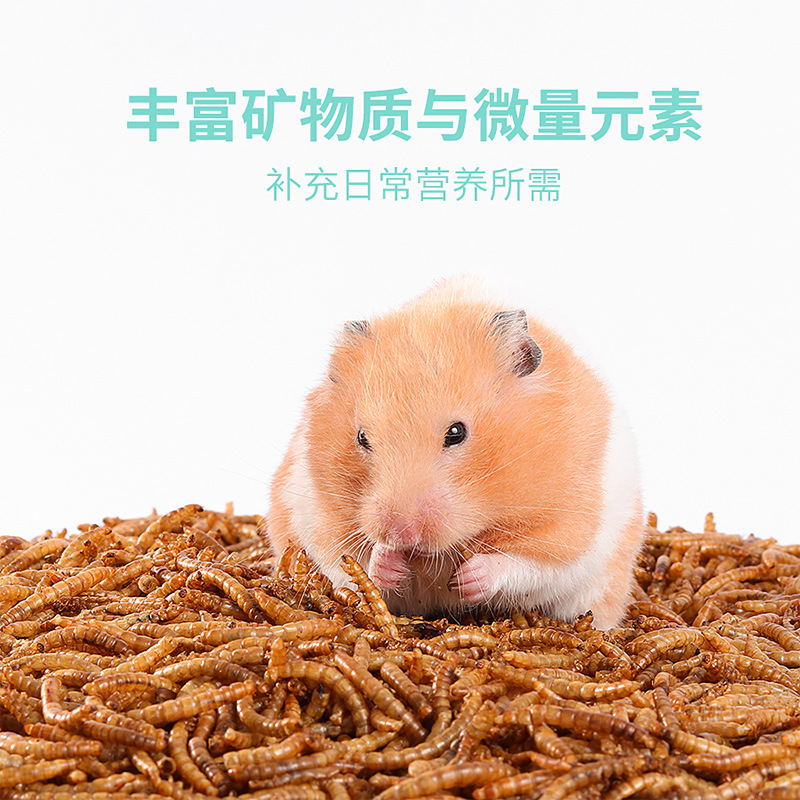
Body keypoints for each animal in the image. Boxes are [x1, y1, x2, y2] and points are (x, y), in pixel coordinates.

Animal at [267, 277, 643, 629]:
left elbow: (527, 564)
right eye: (362, 437)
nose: (401, 533)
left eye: (456, 432)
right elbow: (352, 562)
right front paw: (389, 560)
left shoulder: (571, 527)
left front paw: (466, 580)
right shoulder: (317, 513)